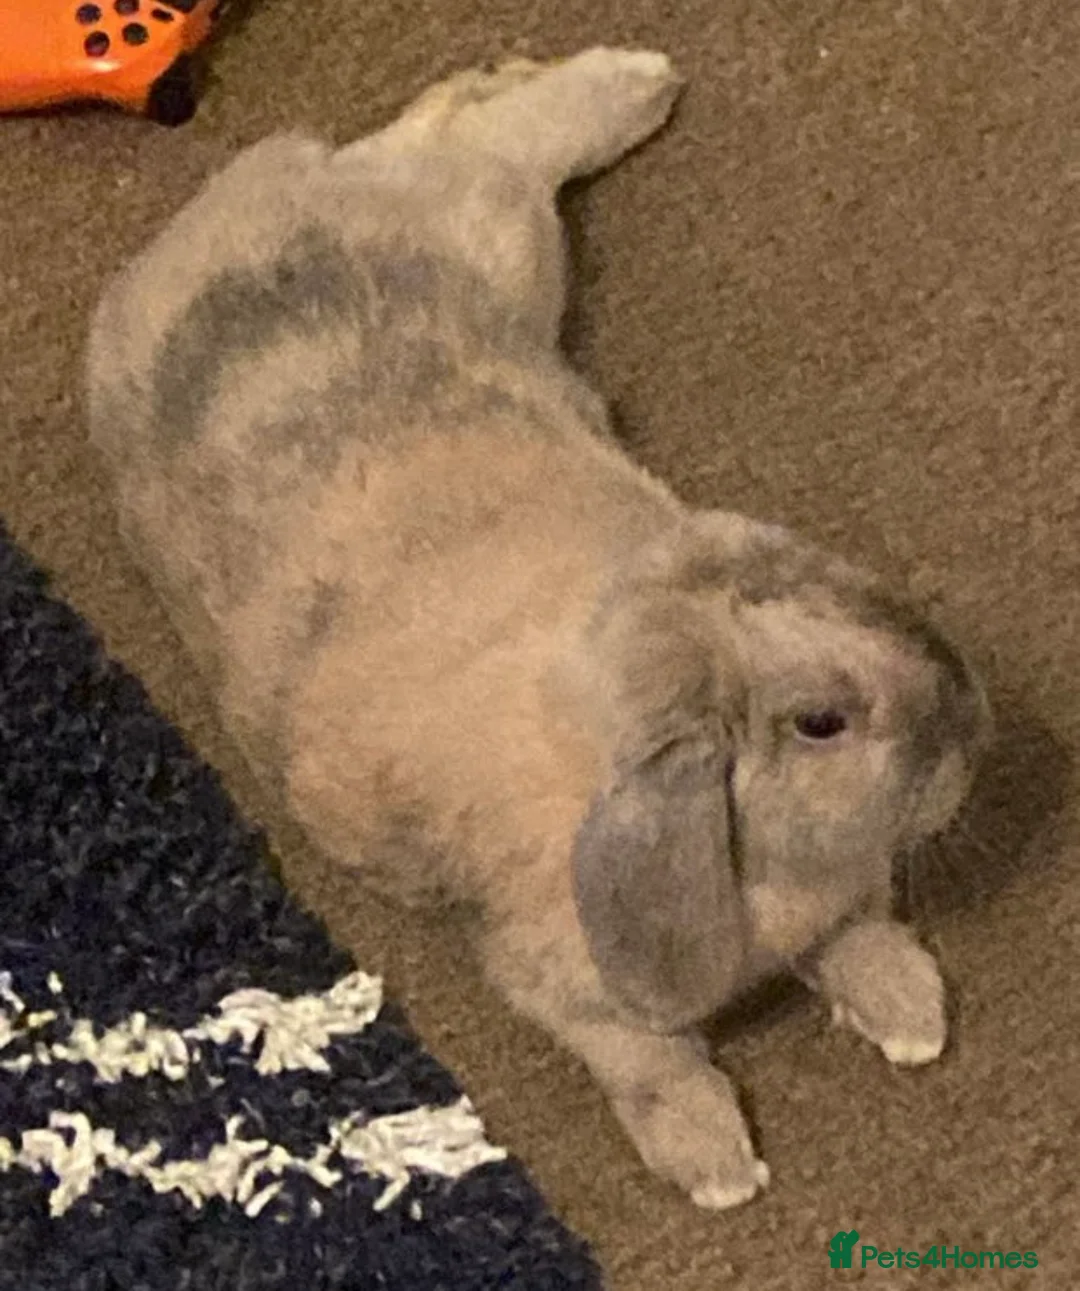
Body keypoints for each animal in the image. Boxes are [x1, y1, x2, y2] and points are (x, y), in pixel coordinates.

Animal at [86, 48, 992, 1210]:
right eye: (822, 722)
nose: (975, 724)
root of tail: (195, 226)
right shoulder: (566, 992)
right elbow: (653, 1062)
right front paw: (718, 1165)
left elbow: (862, 929)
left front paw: (911, 1013)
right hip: (498, 232)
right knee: (470, 135)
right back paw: (635, 83)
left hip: (505, 241)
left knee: (460, 122)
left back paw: (627, 78)